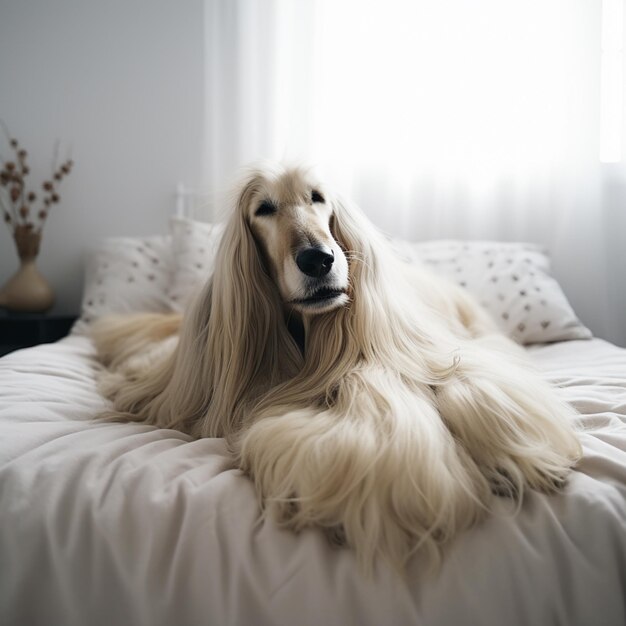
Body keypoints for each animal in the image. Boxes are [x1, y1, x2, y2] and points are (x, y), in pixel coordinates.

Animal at [94, 165, 580, 572]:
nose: (318, 259)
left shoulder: (427, 351)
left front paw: (515, 455)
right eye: (263, 208)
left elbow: (460, 380)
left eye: (318, 198)